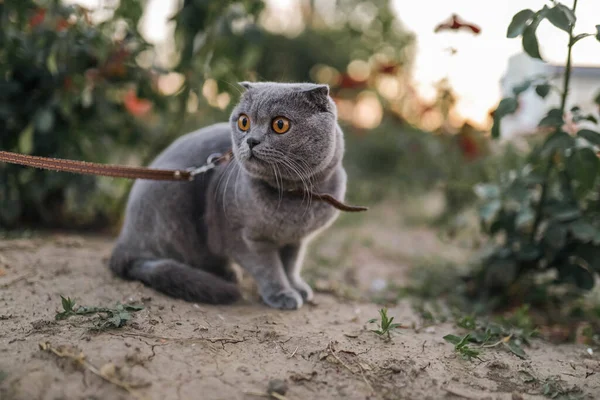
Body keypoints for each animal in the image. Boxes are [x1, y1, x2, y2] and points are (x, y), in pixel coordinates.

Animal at [109, 81, 346, 310]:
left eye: (280, 124)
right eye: (244, 122)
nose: (251, 141)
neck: (294, 194)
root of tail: (123, 241)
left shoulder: (295, 239)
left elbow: (290, 265)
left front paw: (297, 287)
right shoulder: (245, 238)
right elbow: (269, 268)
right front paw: (282, 293)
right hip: (171, 200)